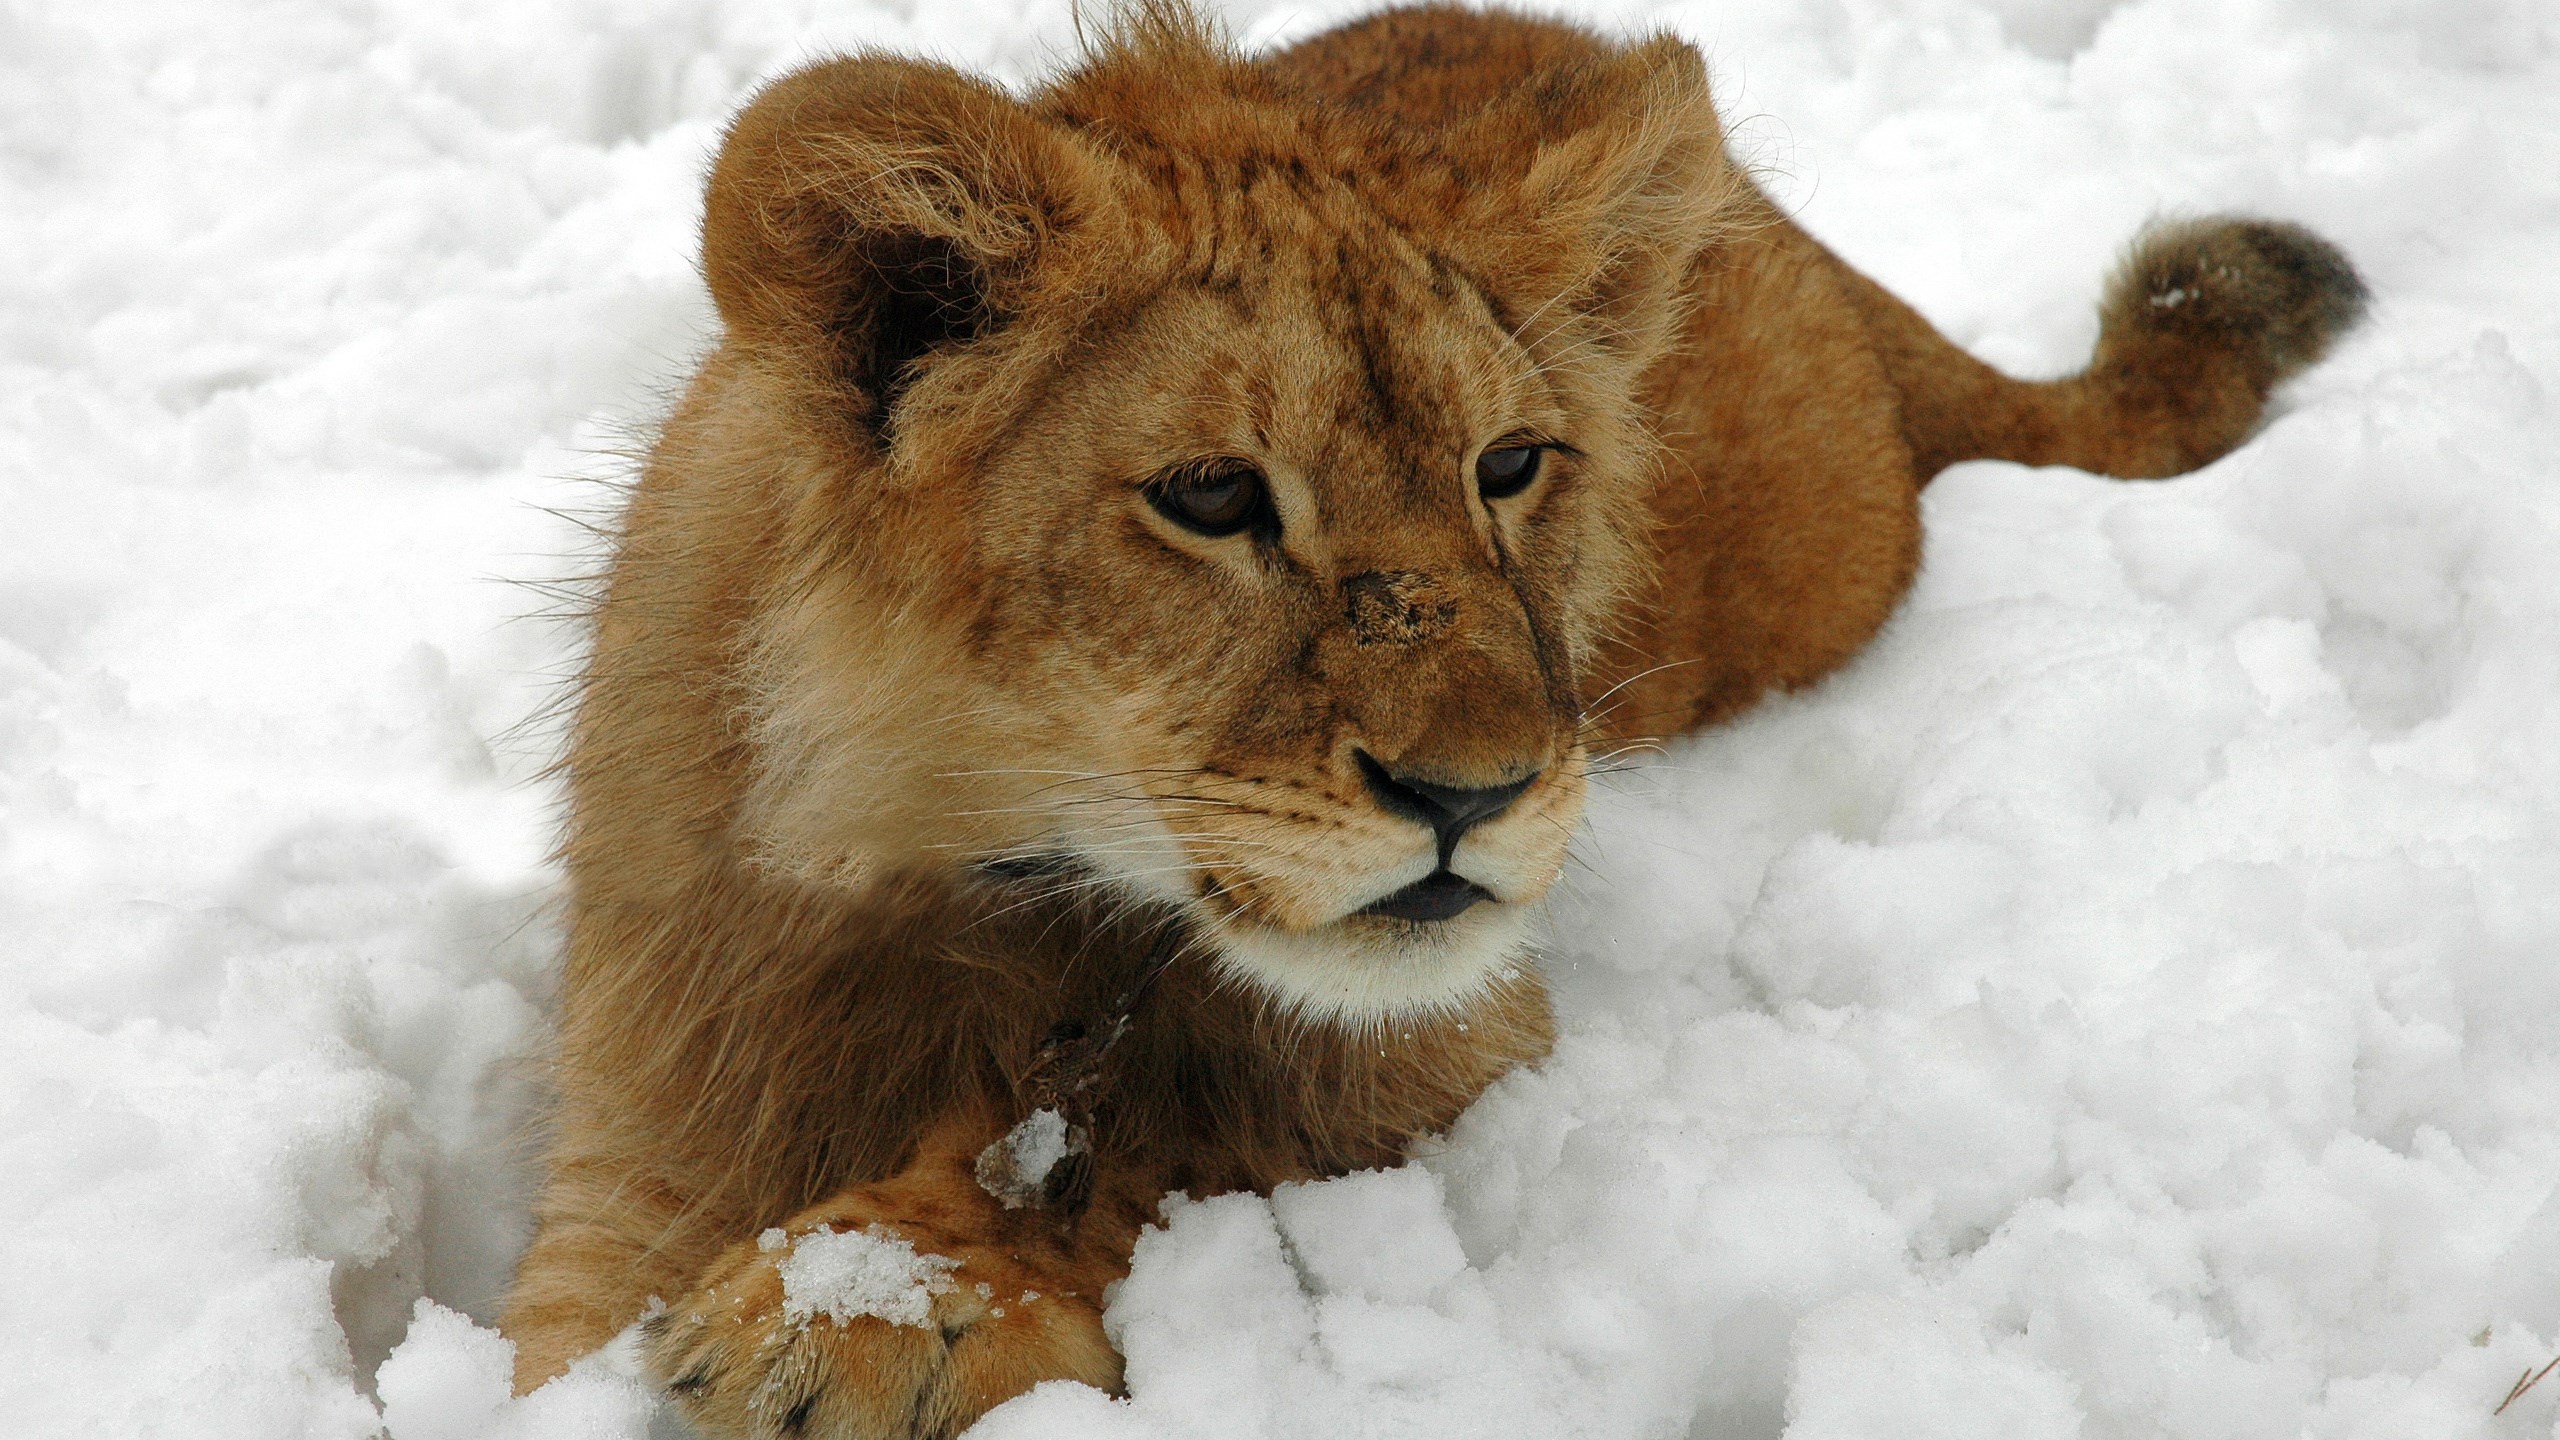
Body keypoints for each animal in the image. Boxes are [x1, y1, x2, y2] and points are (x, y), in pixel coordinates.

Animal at [497, 5, 2365, 1435]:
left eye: (1511, 466)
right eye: (1210, 495)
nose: (1478, 794)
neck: (967, 874)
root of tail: (1820, 254)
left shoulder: (1449, 1048)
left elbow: (1168, 1122)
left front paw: (884, 1308)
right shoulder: (633, 1164)